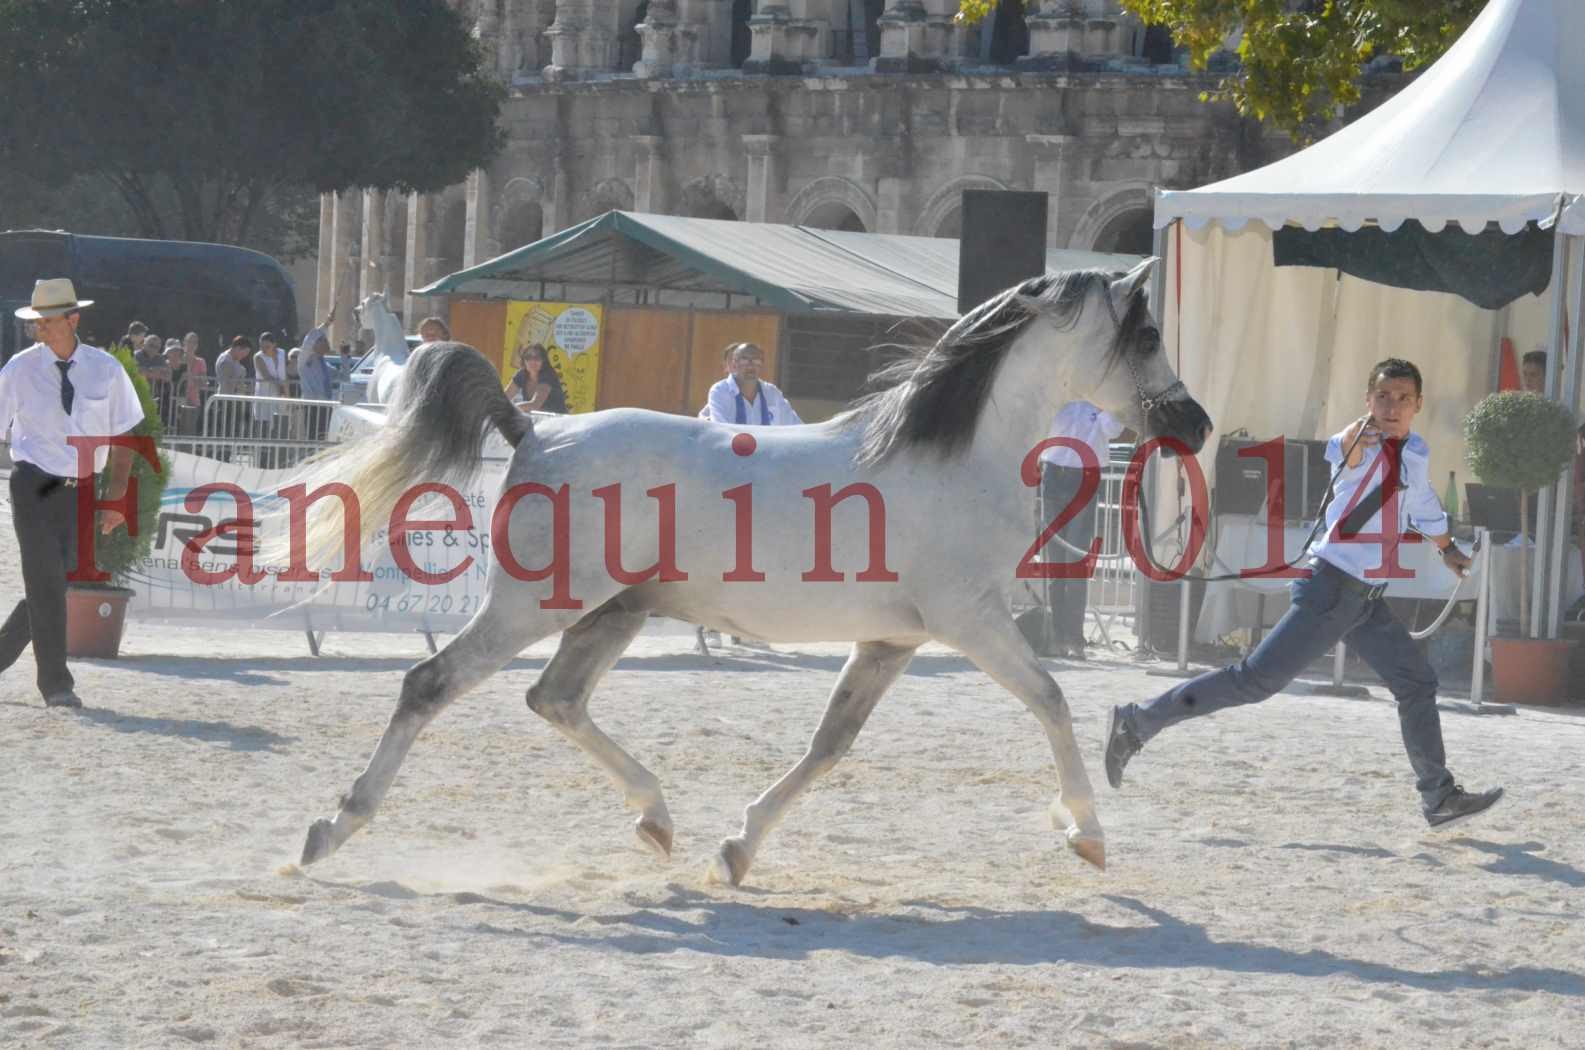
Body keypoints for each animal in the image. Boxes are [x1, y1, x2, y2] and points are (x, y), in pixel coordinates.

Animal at [297, 261, 1210, 888]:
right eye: (1147, 336)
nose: (1195, 424)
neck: (951, 454)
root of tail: (533, 430)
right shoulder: (972, 622)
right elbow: (1050, 700)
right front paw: (1086, 833)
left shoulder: (892, 641)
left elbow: (830, 744)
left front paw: (735, 849)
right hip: (533, 608)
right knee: (429, 684)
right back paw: (331, 828)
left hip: (613, 612)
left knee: (555, 699)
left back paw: (658, 820)